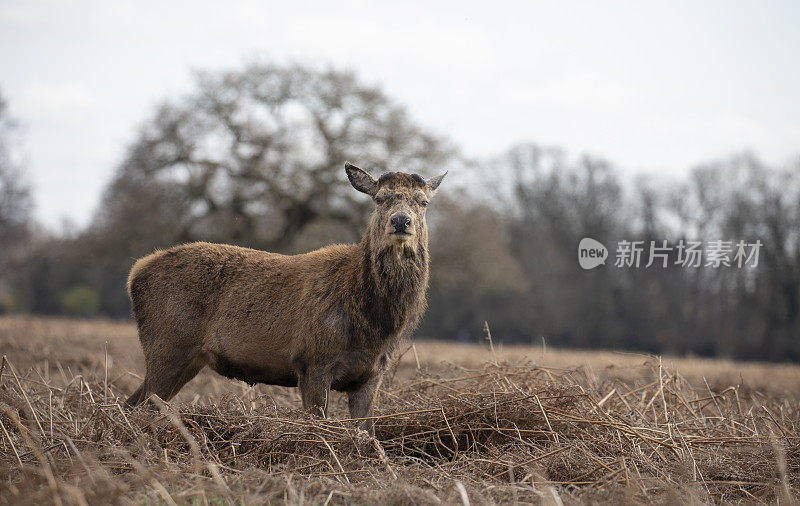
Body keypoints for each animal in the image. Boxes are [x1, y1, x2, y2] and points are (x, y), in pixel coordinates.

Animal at [127, 164, 446, 432]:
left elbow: (366, 430)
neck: (372, 324)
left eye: (423, 202)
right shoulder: (312, 362)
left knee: (135, 402)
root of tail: (135, 273)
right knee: (140, 403)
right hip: (167, 345)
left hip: (187, 358)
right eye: (379, 198)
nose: (401, 221)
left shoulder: (372, 373)